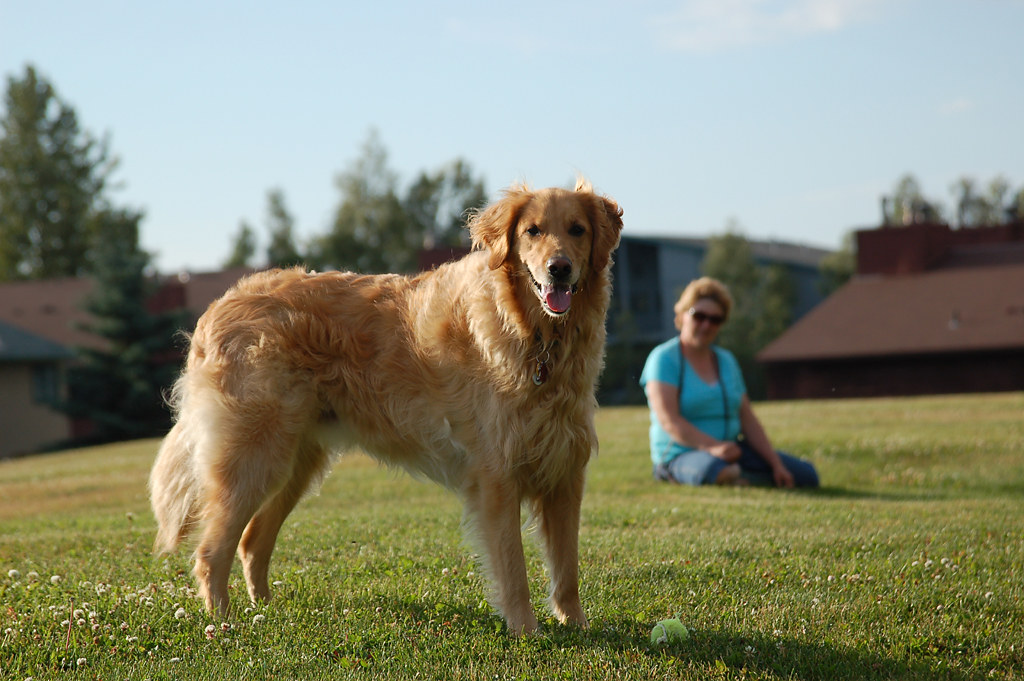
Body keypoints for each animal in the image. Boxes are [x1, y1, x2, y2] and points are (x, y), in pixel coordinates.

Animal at [147, 179, 618, 630]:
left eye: (577, 230)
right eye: (532, 231)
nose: (559, 269)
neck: (537, 337)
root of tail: (219, 306)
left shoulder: (565, 474)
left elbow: (567, 570)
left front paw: (576, 627)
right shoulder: (497, 478)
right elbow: (514, 572)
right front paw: (527, 633)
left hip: (295, 462)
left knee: (250, 543)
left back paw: (265, 611)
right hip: (253, 458)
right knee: (212, 552)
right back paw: (223, 623)